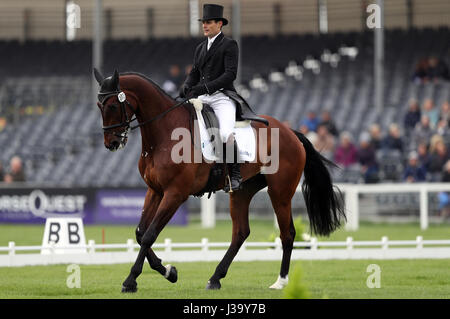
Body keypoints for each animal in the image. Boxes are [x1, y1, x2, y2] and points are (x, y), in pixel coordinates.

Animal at [93, 69, 346, 292]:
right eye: (99, 106)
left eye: (113, 105)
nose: (111, 143)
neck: (163, 135)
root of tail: (291, 132)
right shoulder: (155, 190)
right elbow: (140, 232)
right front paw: (168, 271)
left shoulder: (175, 193)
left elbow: (149, 235)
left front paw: (131, 281)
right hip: (242, 191)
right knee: (240, 233)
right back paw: (215, 278)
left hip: (280, 192)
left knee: (287, 233)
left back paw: (280, 282)